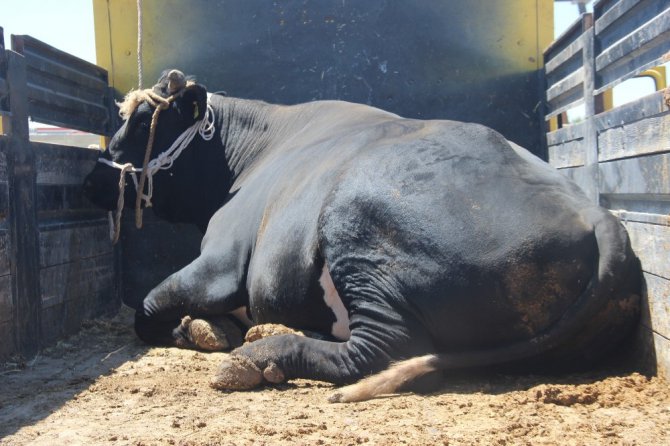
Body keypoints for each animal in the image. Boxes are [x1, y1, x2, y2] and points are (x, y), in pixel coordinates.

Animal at [85, 71, 644, 402]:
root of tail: (598, 216)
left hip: (356, 222)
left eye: (143, 121)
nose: (91, 176)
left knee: (382, 349)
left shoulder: (218, 262)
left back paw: (262, 353)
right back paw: (268, 334)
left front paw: (203, 329)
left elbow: (148, 310)